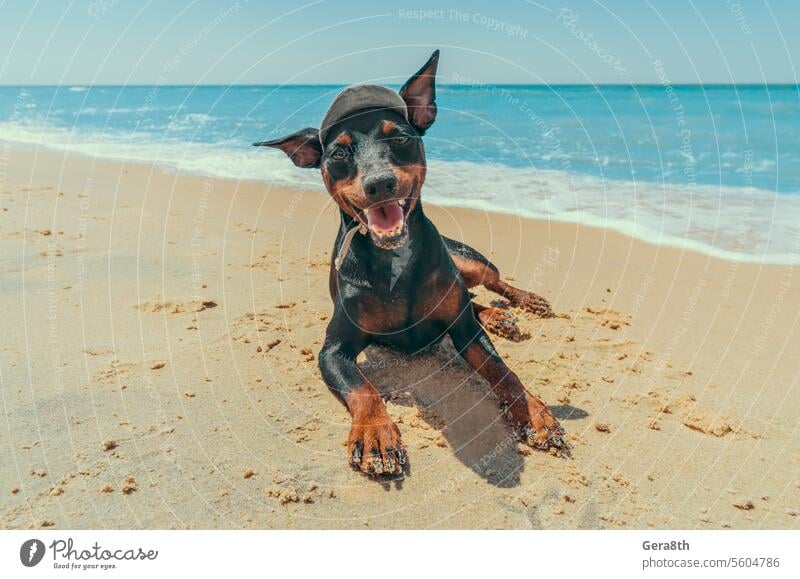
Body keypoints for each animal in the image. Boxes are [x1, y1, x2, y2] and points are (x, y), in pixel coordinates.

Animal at [256, 49, 568, 476]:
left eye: (400, 137)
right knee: (472, 300)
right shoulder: (333, 349)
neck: (394, 262)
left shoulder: (465, 333)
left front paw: (533, 413)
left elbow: (503, 371)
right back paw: (496, 316)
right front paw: (375, 435)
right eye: (338, 153)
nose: (380, 183)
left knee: (489, 284)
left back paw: (521, 304)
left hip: (466, 259)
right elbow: (364, 389)